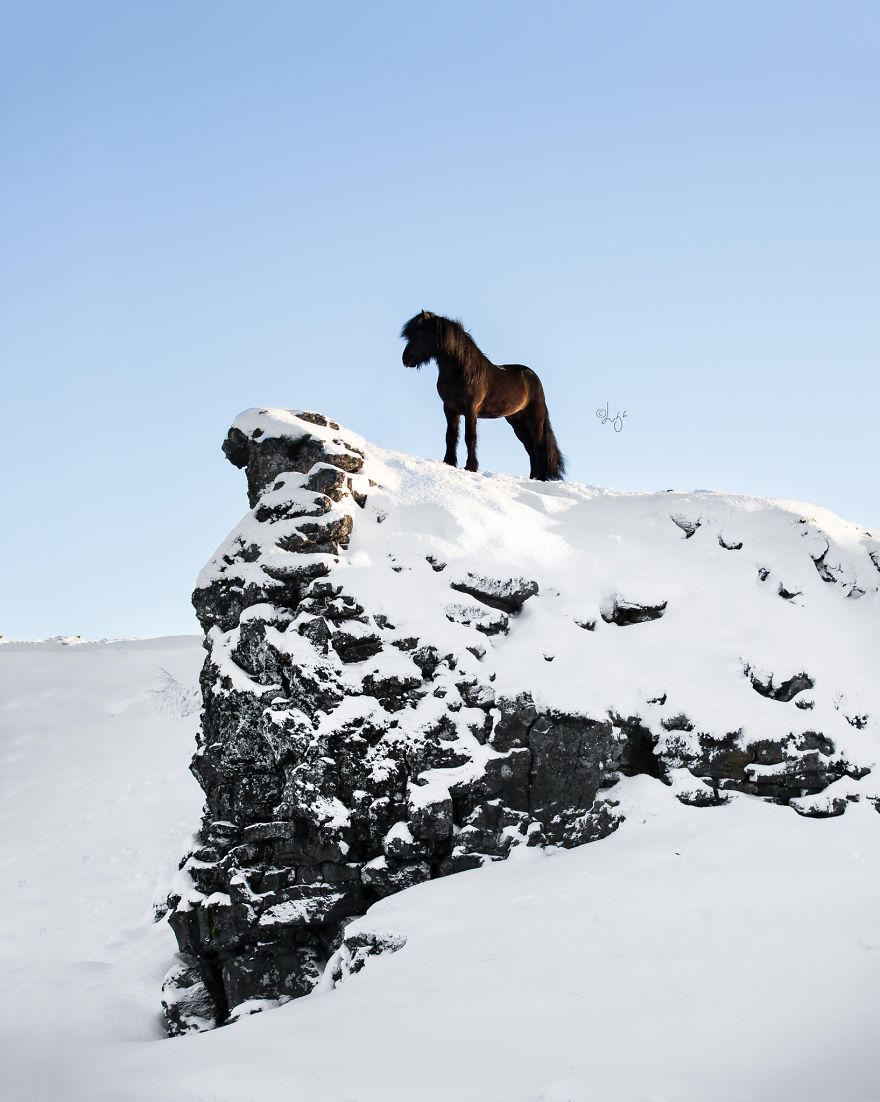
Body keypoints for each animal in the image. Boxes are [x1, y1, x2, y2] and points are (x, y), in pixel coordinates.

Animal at [400, 311, 566, 481]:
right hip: (517, 422)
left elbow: (470, 437)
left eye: (421, 334)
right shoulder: (450, 409)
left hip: (534, 420)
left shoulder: (470, 409)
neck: (463, 372)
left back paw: (541, 478)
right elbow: (451, 436)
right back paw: (532, 478)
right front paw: (449, 462)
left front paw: (471, 467)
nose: (405, 359)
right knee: (531, 450)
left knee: (539, 448)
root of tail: (533, 376)